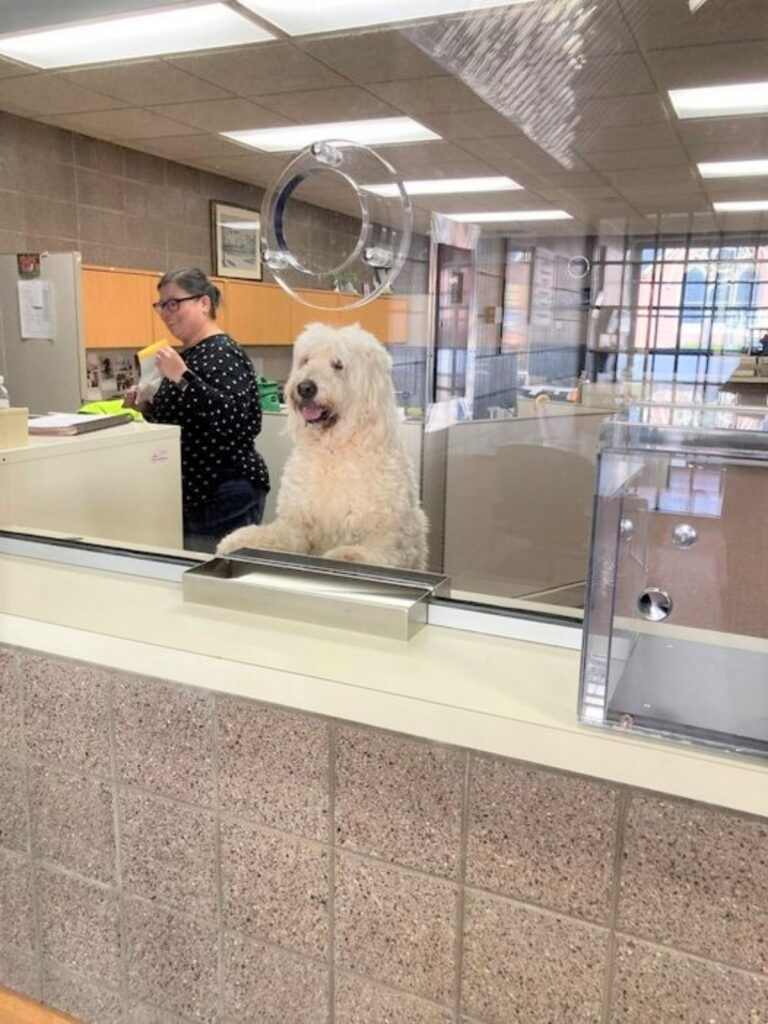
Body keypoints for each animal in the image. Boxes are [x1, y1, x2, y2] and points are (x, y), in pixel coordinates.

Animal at [218, 323, 428, 573]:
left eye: (338, 364)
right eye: (306, 360)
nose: (305, 387)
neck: (333, 449)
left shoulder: (390, 536)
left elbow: (376, 552)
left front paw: (346, 556)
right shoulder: (298, 524)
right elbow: (277, 536)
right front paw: (236, 540)